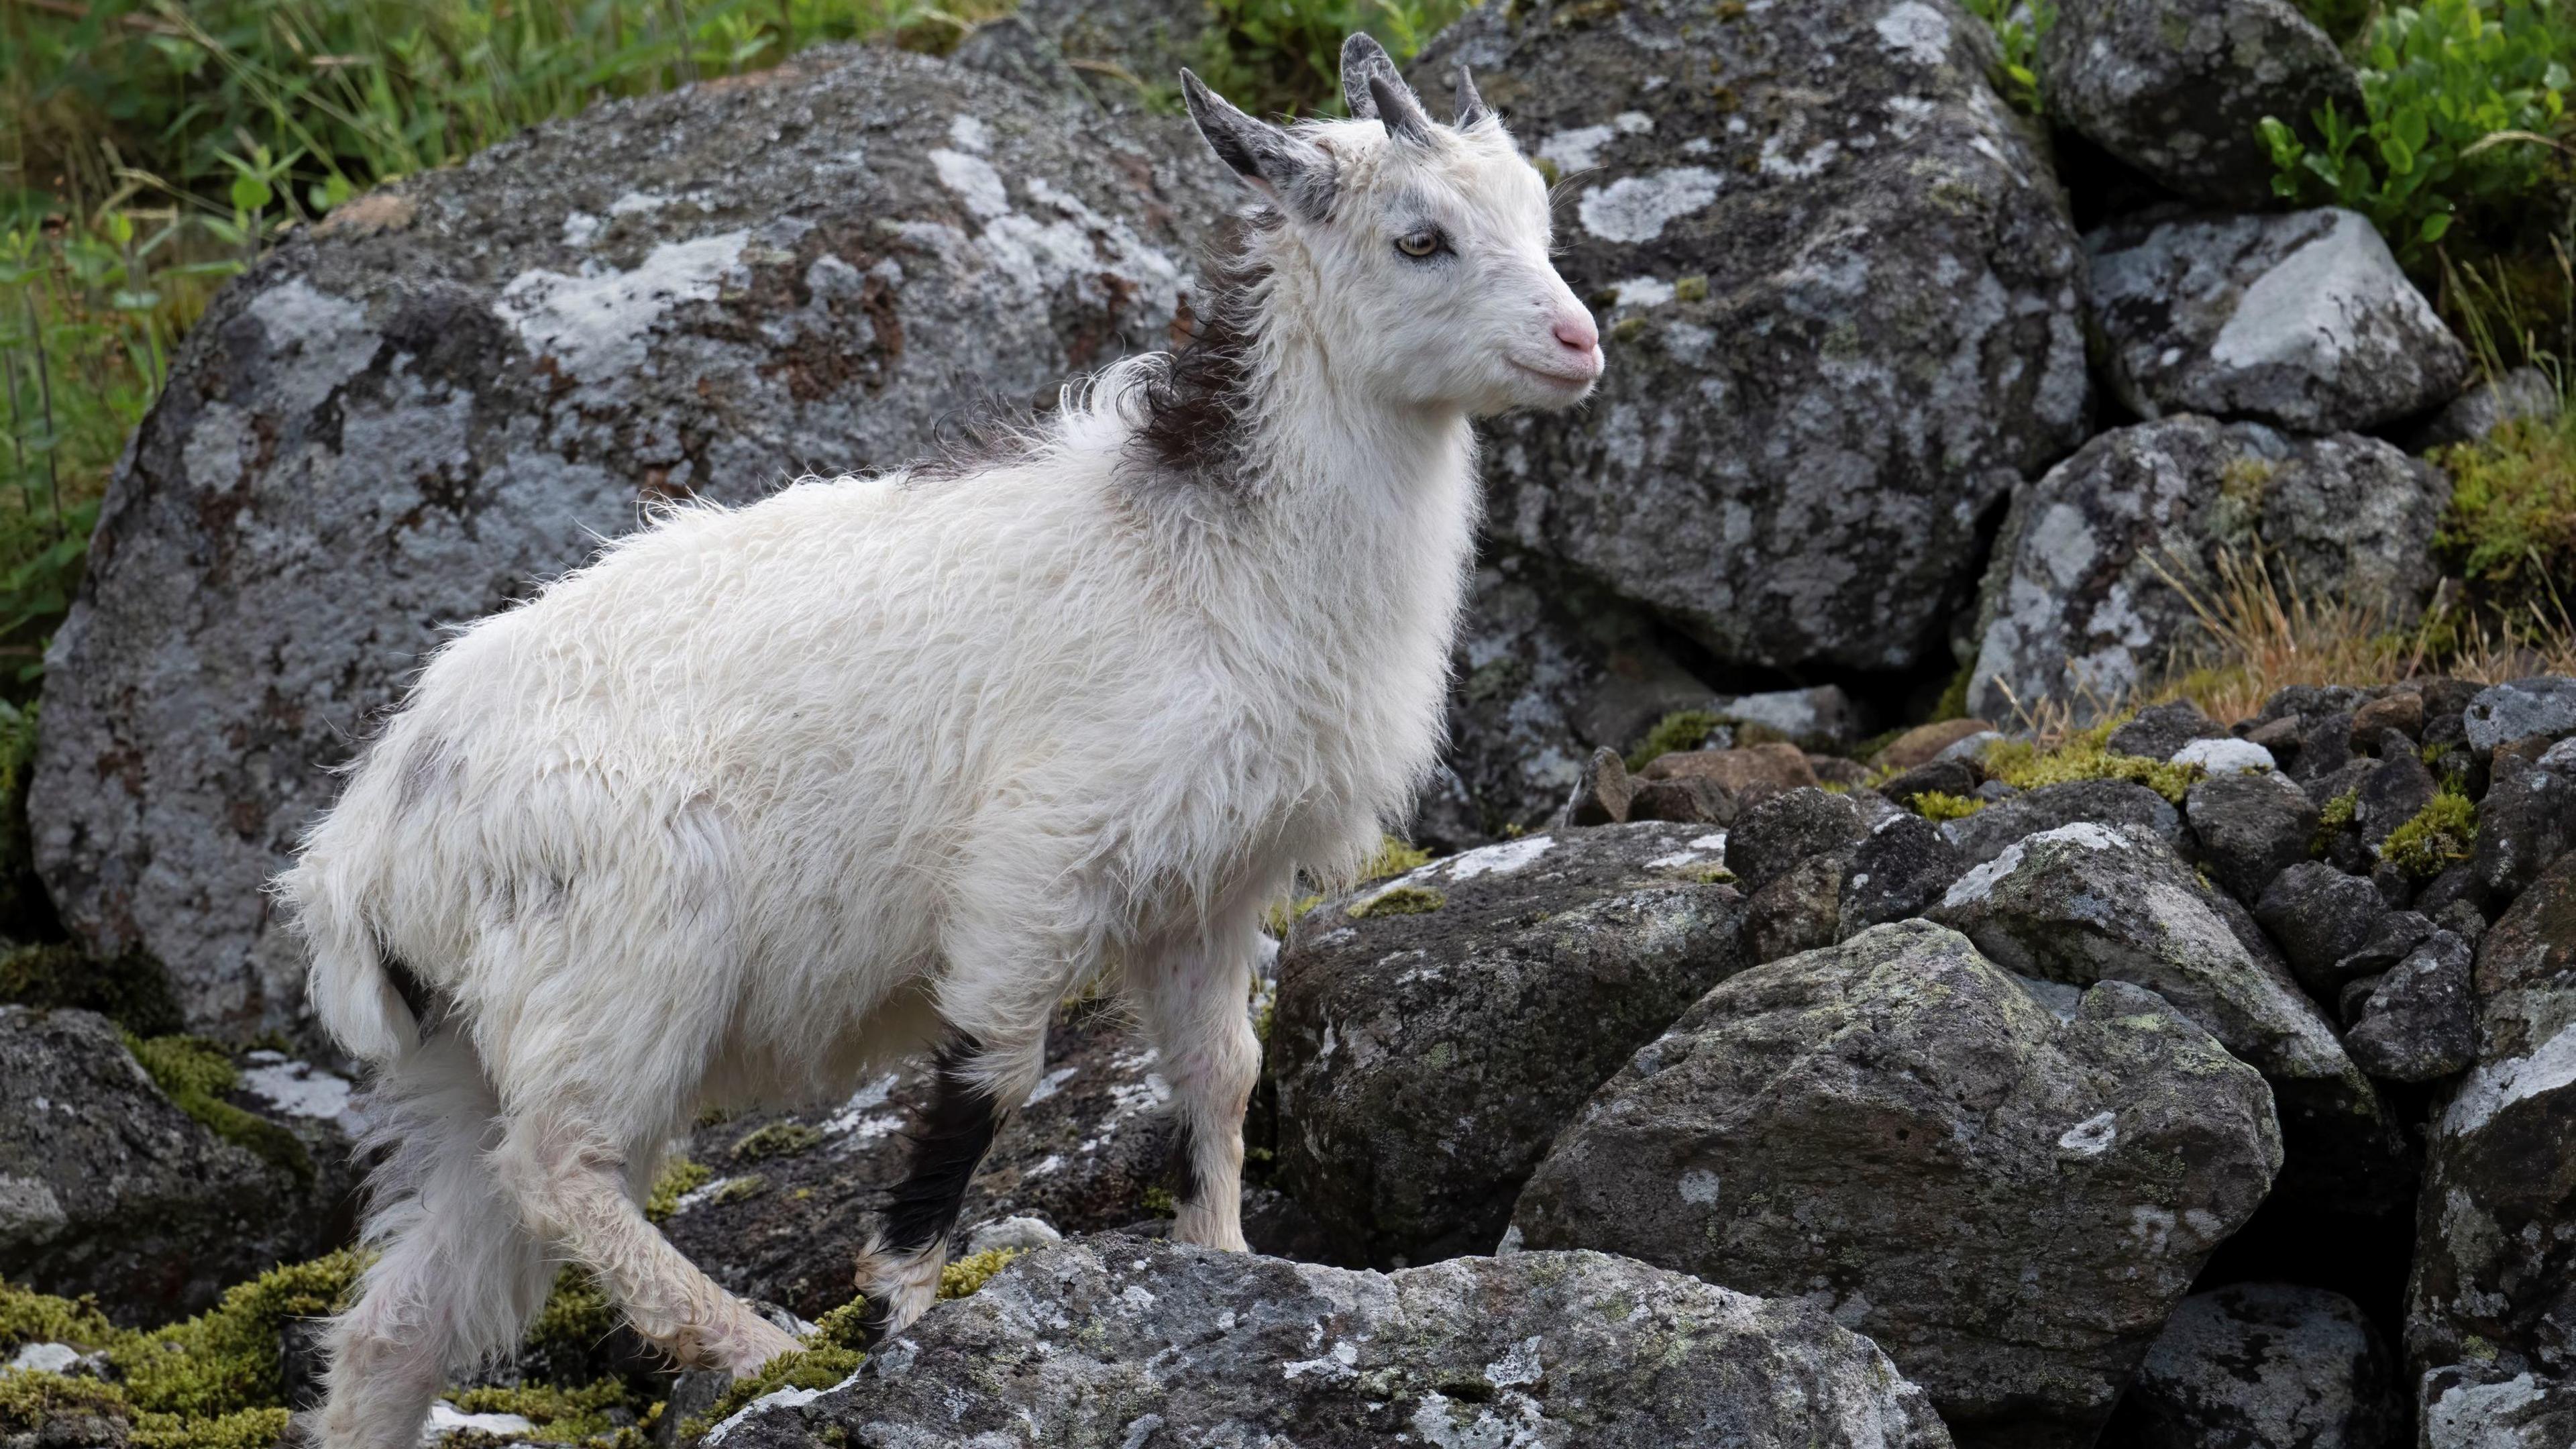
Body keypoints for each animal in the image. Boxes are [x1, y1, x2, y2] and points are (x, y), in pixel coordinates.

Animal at [276, 36, 1587, 1444]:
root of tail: (364, 846)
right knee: (559, 1167)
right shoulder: (1037, 857)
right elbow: (993, 1076)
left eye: (1537, 214)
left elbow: (1221, 1075)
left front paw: (1224, 1264)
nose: (1579, 342)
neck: (1209, 554)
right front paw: (898, 1300)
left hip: (464, 1052)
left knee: (404, 1316)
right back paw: (750, 1341)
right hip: (617, 967)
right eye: (1419, 238)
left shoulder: (1210, 885)